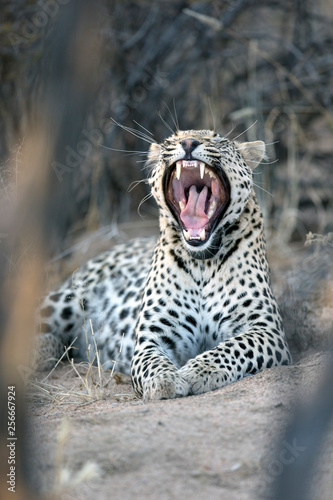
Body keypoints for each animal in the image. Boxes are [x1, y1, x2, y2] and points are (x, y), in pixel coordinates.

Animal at [36, 129, 290, 402]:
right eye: (171, 140)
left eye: (218, 139)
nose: (188, 142)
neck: (203, 263)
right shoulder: (152, 337)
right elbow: (152, 362)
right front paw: (165, 380)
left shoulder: (266, 330)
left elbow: (235, 347)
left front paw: (199, 370)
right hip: (67, 299)